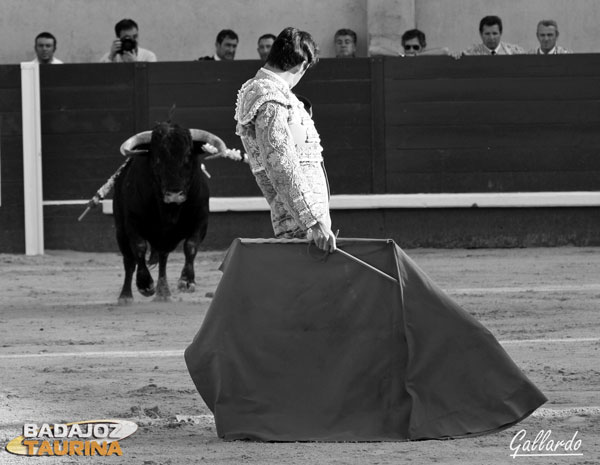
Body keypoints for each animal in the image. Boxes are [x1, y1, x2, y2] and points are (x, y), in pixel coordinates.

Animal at [112, 123, 227, 304]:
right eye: (157, 159)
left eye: (187, 157)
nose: (174, 194)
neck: (169, 210)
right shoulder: (132, 222)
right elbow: (139, 248)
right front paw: (145, 284)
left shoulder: (201, 220)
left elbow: (191, 245)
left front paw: (187, 280)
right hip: (120, 229)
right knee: (129, 261)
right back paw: (125, 296)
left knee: (163, 258)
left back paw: (163, 293)